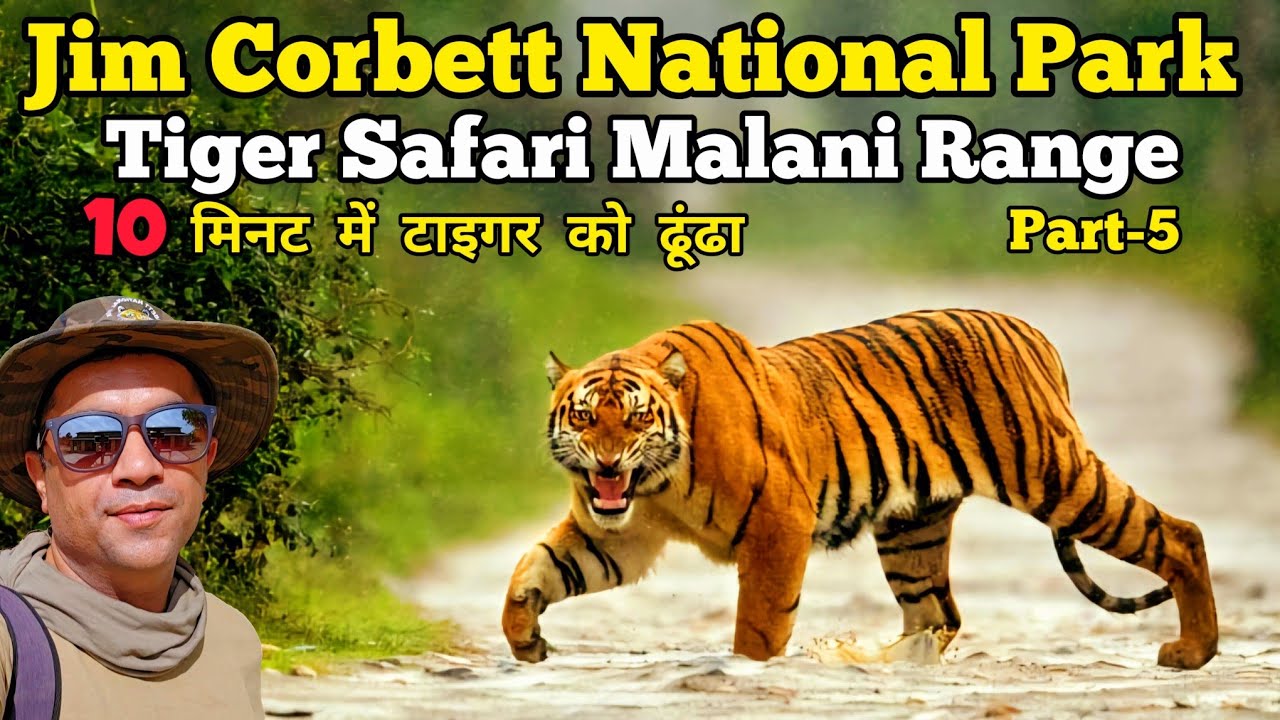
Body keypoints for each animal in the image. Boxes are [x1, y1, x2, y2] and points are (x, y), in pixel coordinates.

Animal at [501, 310, 1218, 670]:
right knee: (937, 614)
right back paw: (879, 664)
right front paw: (526, 642)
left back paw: (1192, 653)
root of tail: (1032, 331)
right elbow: (533, 570)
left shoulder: (777, 524)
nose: (607, 461)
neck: (655, 482)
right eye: (584, 417)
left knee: (1179, 534)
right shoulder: (618, 536)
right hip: (913, 528)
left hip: (1056, 477)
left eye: (635, 418)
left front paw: (750, 671)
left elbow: (758, 625)